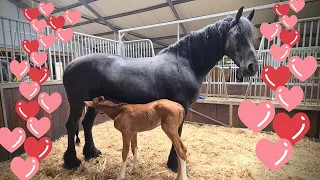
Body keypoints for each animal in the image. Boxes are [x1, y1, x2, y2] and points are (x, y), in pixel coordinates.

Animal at [62, 6, 258, 172]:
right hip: (78, 102)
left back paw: (91, 153)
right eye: (238, 35)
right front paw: (175, 164)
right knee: (72, 125)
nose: (252, 67)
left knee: (87, 124)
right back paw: (72, 162)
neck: (185, 63)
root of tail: (70, 65)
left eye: (252, 36)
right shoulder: (180, 107)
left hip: (94, 102)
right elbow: (178, 133)